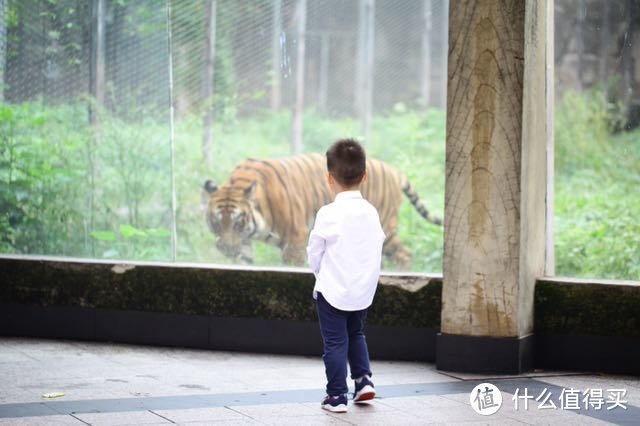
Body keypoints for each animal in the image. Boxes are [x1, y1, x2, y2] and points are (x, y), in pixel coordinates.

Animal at [204, 152, 440, 266]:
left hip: (384, 229)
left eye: (237, 222)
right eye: (216, 222)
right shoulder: (244, 245)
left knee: (405, 254)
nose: (226, 248)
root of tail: (393, 170)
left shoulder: (295, 241)